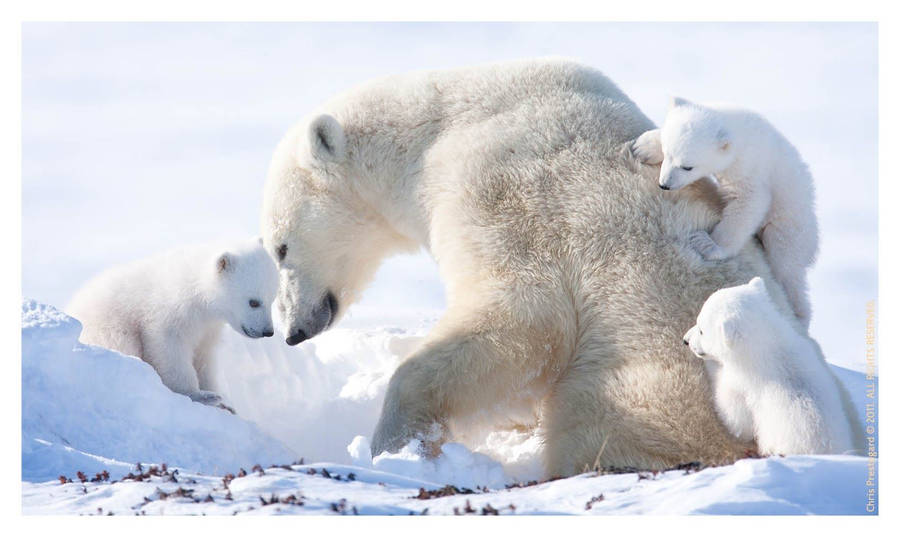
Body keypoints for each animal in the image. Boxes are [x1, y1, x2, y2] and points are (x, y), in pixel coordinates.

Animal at [66, 238, 278, 410]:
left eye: (272, 298)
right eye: (253, 302)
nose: (268, 331)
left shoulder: (208, 327)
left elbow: (204, 356)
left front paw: (221, 399)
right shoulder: (169, 312)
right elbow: (169, 350)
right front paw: (201, 395)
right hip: (108, 325)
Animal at [631, 97, 819, 329]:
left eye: (688, 167)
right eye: (668, 154)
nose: (664, 184)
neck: (738, 131)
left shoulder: (748, 167)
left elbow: (750, 202)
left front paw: (708, 244)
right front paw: (644, 146)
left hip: (791, 226)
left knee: (787, 265)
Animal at [683, 277, 856, 455]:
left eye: (702, 330)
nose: (686, 340)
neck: (772, 345)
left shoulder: (744, 384)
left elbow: (736, 419)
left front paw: (712, 364)